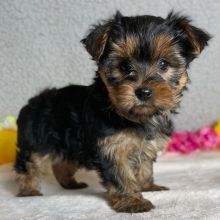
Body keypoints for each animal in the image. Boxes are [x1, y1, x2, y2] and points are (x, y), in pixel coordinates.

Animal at [14, 11, 211, 212]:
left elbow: (145, 167)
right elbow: (121, 175)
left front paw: (147, 186)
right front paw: (132, 200)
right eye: (124, 66)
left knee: (62, 163)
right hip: (37, 140)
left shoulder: (146, 145)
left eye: (163, 64)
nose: (143, 92)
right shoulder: (112, 148)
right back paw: (28, 190)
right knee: (29, 163)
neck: (132, 116)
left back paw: (70, 183)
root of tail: (33, 101)